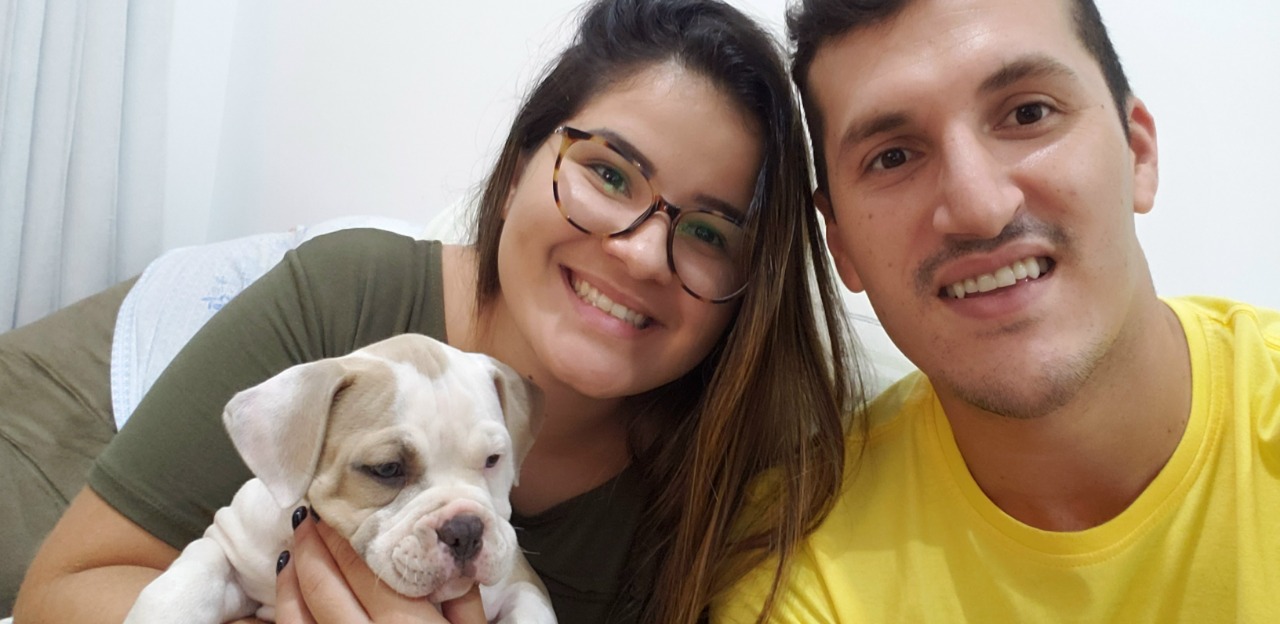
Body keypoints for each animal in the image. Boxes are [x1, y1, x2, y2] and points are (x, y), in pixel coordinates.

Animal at [124, 333, 557, 623]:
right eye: (387, 469)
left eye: (493, 460)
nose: (465, 530)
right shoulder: (231, 544)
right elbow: (189, 578)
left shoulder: (520, 582)